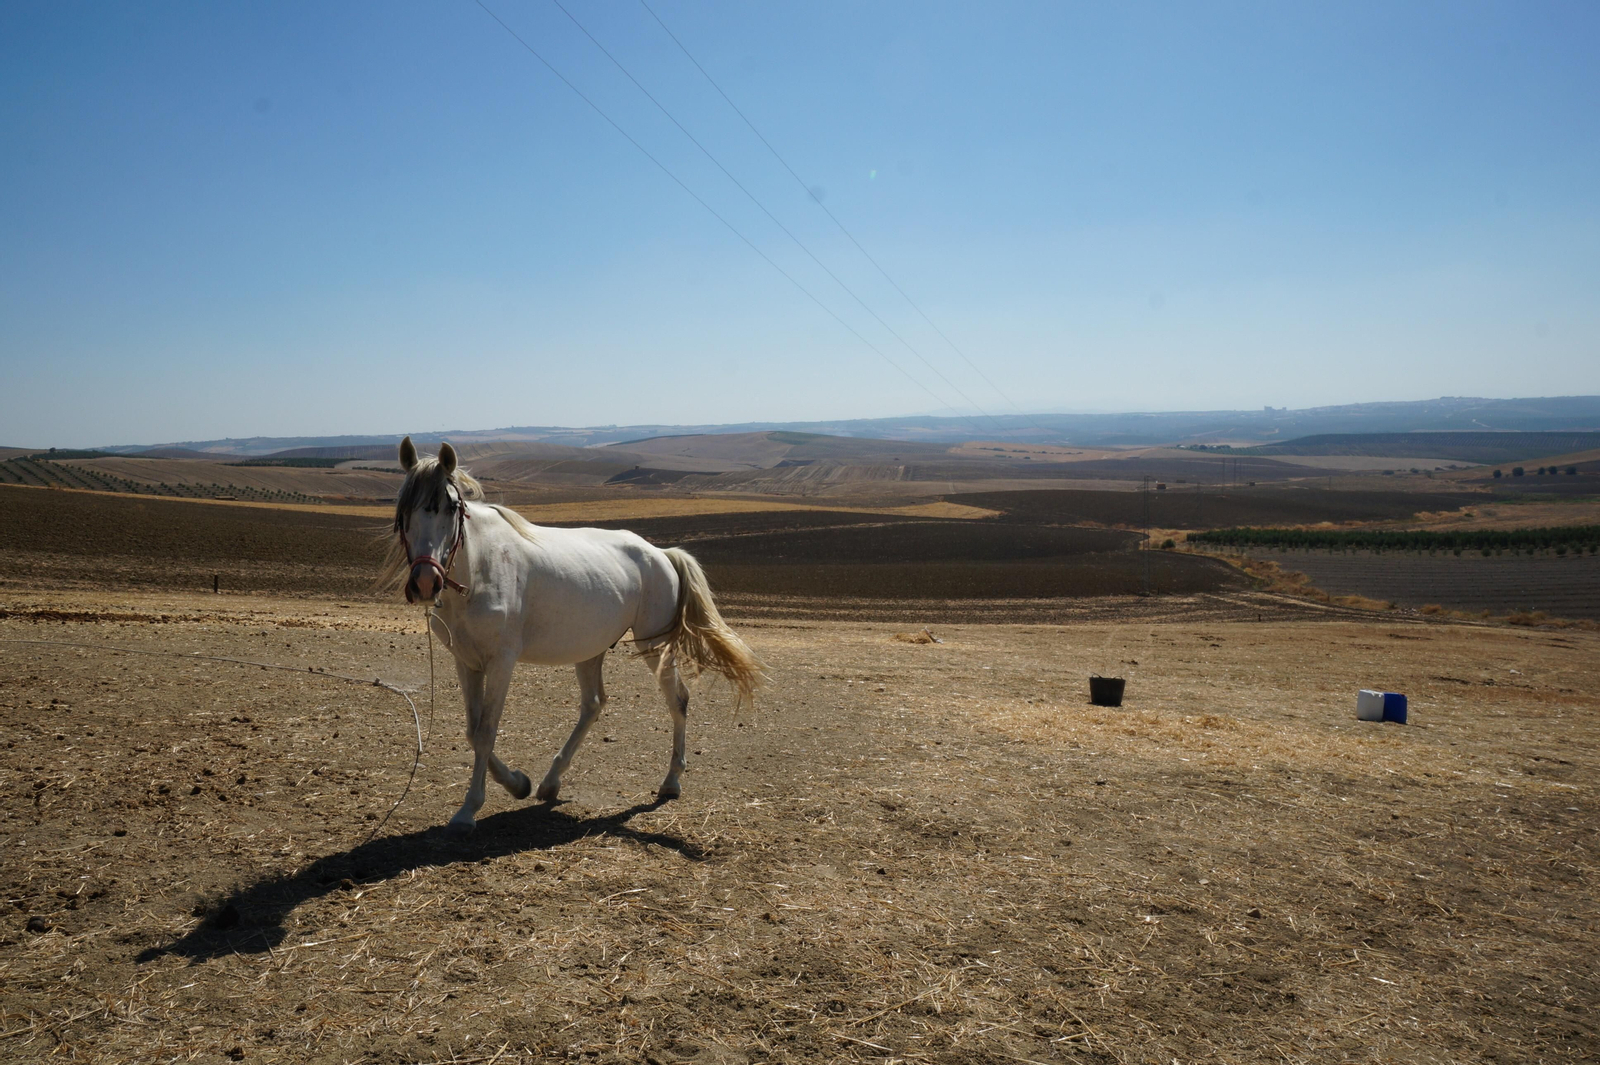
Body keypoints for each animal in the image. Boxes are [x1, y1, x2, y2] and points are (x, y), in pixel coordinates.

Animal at [380, 437, 765, 835]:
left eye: (452, 507)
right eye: (403, 509)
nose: (426, 581)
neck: (480, 569)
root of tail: (661, 553)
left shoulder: (501, 661)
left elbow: (486, 731)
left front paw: (468, 809)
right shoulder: (466, 661)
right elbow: (473, 731)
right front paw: (518, 783)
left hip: (654, 645)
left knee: (678, 700)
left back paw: (671, 781)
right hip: (590, 649)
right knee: (593, 704)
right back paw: (551, 782)